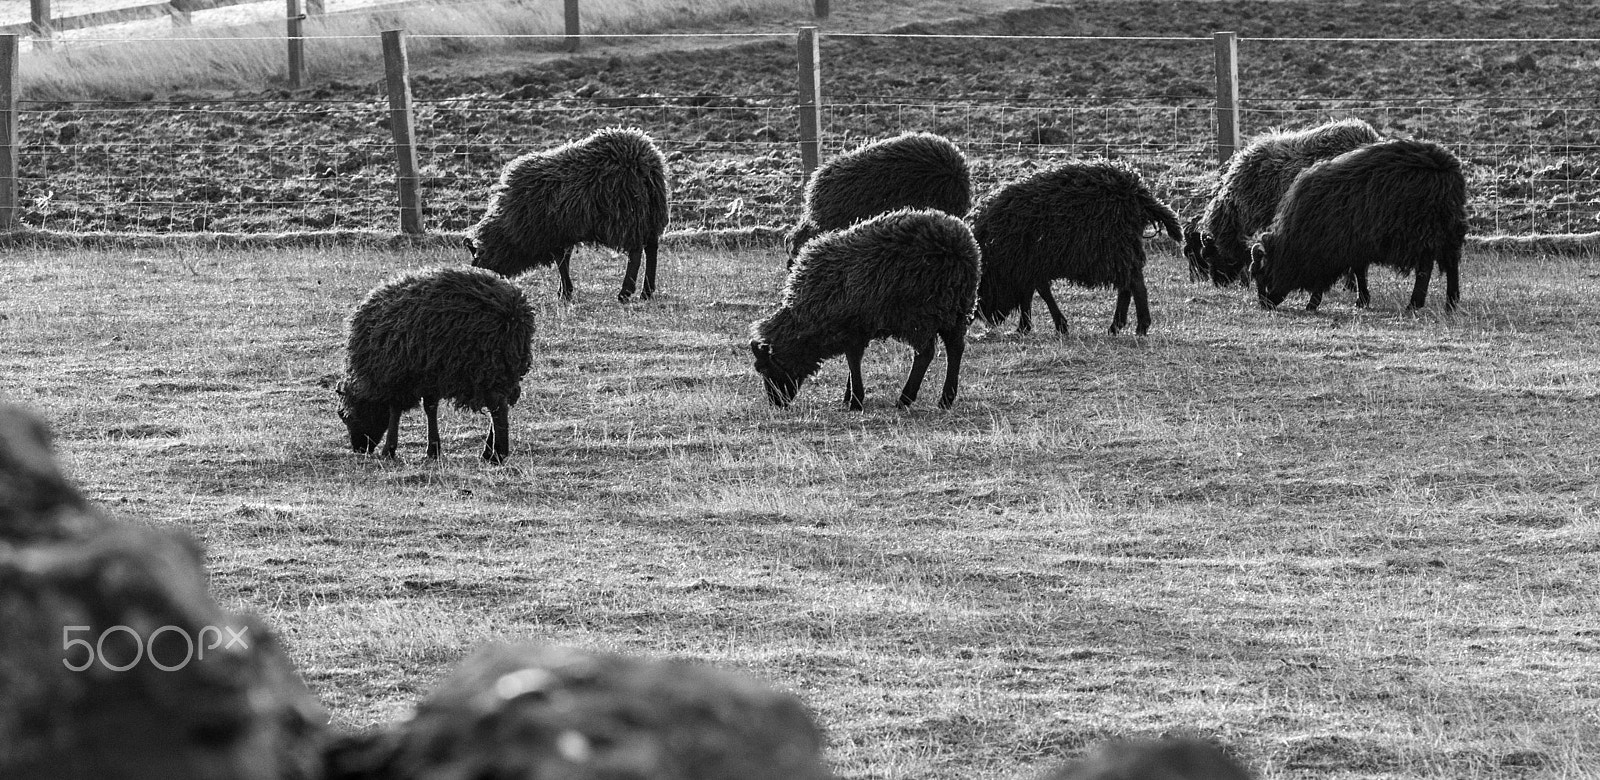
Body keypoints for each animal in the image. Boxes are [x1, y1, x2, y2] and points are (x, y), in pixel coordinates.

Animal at [336, 266, 536, 463]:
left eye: (345, 415)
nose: (360, 449)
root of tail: (514, 313)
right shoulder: (429, 374)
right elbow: (430, 408)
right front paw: (433, 449)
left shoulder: (397, 376)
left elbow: (395, 411)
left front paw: (389, 450)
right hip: (506, 367)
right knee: (502, 404)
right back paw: (489, 451)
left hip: (486, 366)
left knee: (498, 407)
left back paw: (497, 454)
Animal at [464, 127, 670, 303]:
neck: (507, 226)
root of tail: (646, 162)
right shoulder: (563, 231)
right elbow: (565, 260)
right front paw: (563, 291)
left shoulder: (551, 232)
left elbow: (561, 262)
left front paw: (565, 293)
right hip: (650, 213)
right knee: (651, 248)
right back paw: (646, 292)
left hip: (628, 216)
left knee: (635, 253)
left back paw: (625, 293)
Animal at [751, 208, 980, 411]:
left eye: (765, 368)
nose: (776, 404)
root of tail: (961, 247)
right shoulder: (855, 327)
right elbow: (853, 362)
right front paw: (849, 396)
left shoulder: (853, 325)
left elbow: (853, 360)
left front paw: (855, 401)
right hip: (955, 309)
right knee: (955, 348)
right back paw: (946, 399)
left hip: (920, 313)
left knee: (925, 353)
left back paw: (905, 399)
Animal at [970, 160, 1182, 336]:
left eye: (979, 290)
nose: (989, 321)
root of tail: (1139, 193)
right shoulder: (1030, 265)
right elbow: (1031, 294)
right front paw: (1028, 327)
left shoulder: (1030, 264)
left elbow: (1038, 293)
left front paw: (1046, 326)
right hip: (1121, 249)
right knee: (1127, 285)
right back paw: (1116, 326)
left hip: (1116, 247)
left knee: (1136, 284)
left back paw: (1140, 327)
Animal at [1251, 138, 1467, 312]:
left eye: (1264, 272)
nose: (1265, 305)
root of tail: (1448, 167)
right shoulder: (1354, 246)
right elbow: (1359, 272)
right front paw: (1362, 300)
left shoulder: (1333, 247)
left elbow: (1333, 276)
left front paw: (1313, 303)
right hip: (1447, 228)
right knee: (1451, 263)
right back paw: (1451, 302)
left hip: (1423, 230)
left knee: (1426, 267)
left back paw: (1415, 303)